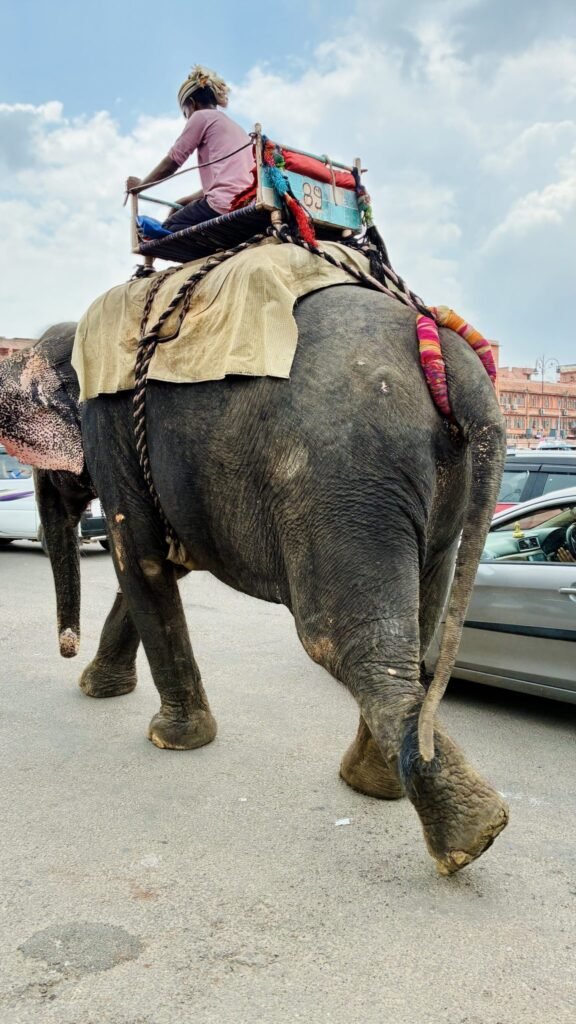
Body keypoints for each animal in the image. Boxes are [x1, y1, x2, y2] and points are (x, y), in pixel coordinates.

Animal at [0, 285, 509, 875]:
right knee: (419, 619)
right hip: (435, 488)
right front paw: (100, 691)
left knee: (340, 641)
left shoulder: (111, 427)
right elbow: (163, 562)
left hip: (343, 478)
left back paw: (468, 835)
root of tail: (450, 356)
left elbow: (141, 559)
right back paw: (382, 788)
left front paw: (169, 738)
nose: (66, 647)